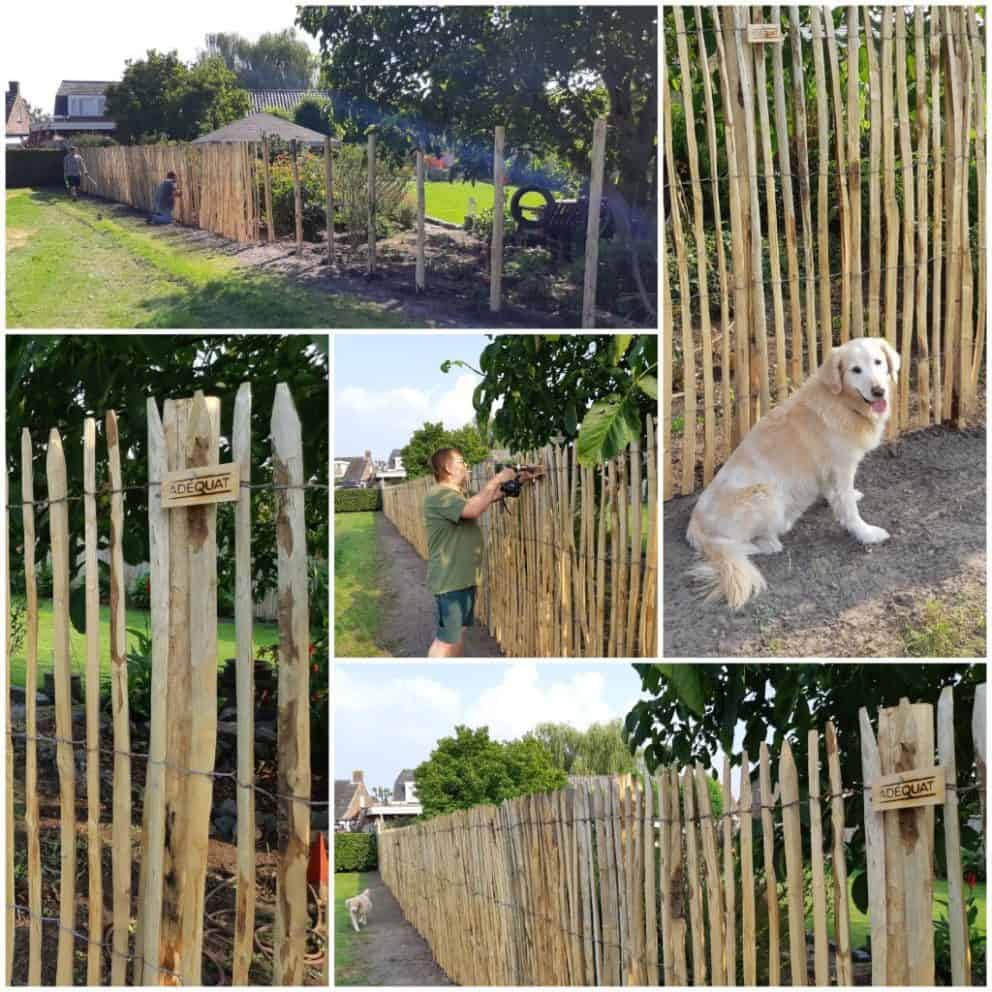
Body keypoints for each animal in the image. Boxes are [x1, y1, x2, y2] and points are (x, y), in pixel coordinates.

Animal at [684, 338, 904, 608]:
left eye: (878, 362)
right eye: (855, 370)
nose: (878, 391)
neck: (841, 402)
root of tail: (694, 525)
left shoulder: (830, 473)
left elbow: (839, 496)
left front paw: (851, 496)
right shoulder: (841, 468)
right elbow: (850, 512)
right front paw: (867, 533)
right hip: (765, 496)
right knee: (742, 546)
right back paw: (773, 539)